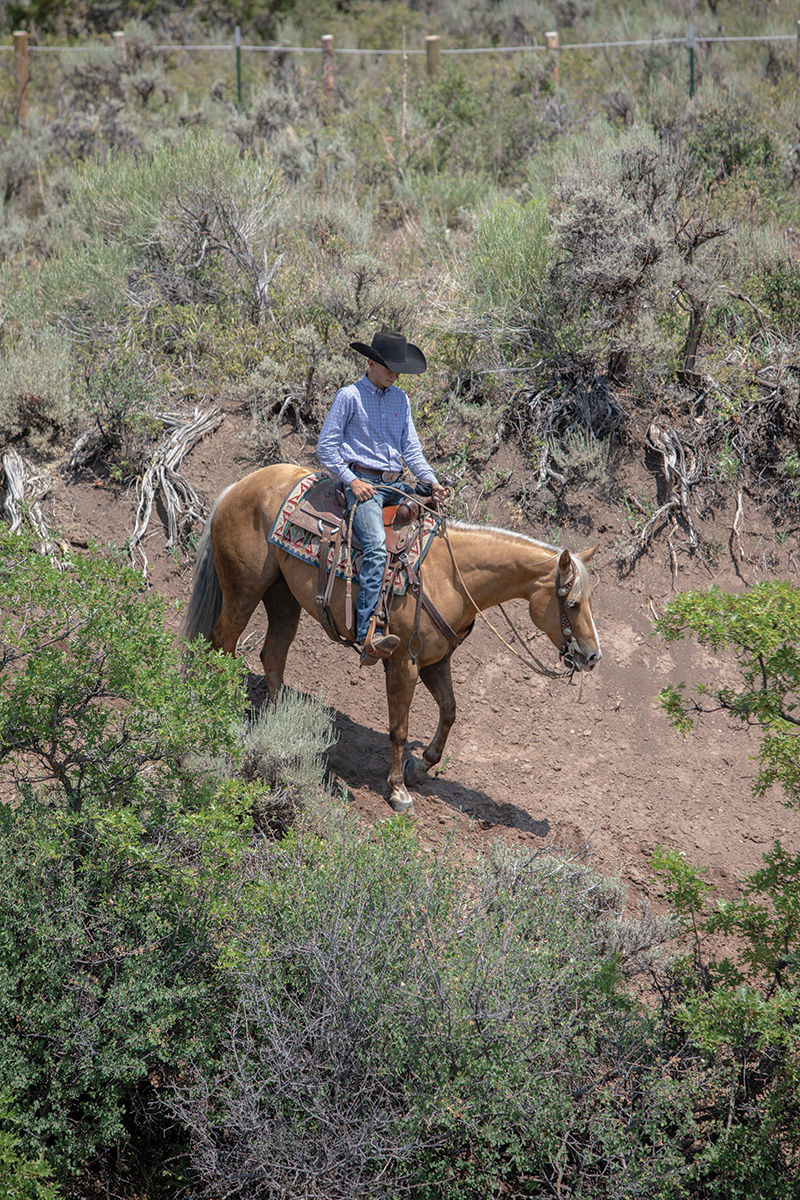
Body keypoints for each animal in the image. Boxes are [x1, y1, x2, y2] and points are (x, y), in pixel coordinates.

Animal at [185, 460, 599, 816]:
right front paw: (398, 790)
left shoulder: (437, 661)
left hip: (282, 595)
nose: (592, 657)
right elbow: (399, 729)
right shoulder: (405, 663)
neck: (449, 575)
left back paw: (278, 725)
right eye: (573, 603)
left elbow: (450, 711)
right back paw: (225, 713)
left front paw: (420, 768)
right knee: (221, 644)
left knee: (272, 655)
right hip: (243, 590)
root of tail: (238, 487)